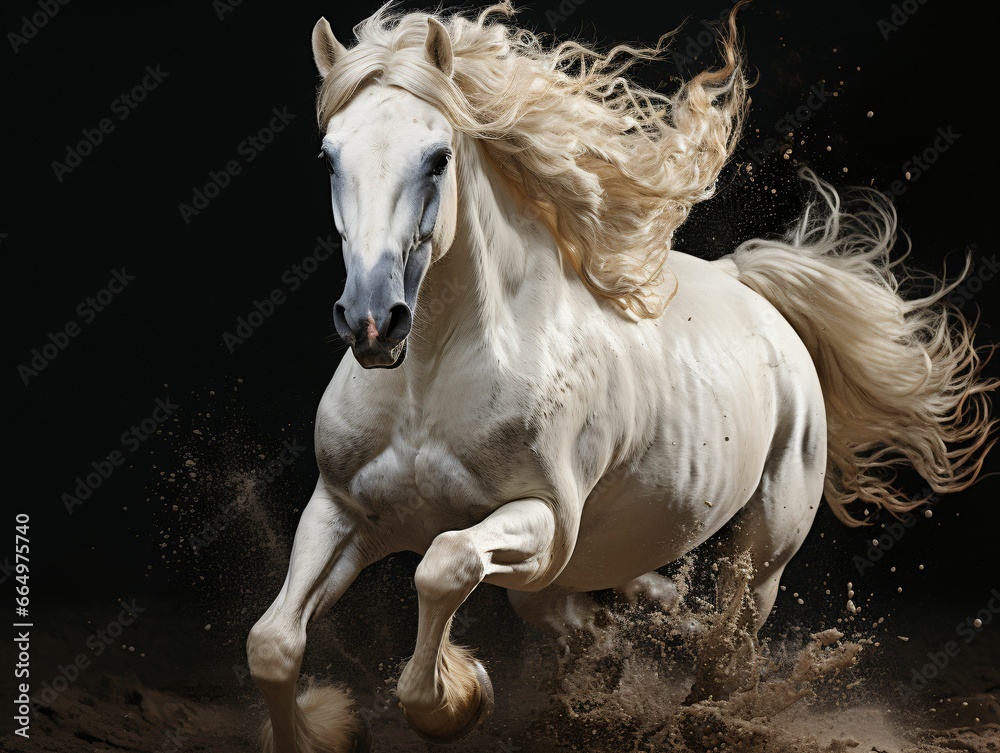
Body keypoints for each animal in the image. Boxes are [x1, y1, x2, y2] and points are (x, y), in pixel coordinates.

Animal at [246, 5, 996, 752]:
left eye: (438, 157)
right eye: (329, 156)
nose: (373, 321)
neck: (428, 383)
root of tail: (748, 286)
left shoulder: (545, 524)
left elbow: (443, 564)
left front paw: (459, 696)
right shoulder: (343, 509)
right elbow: (273, 643)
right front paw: (332, 724)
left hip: (764, 548)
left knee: (726, 645)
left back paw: (703, 709)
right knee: (603, 620)